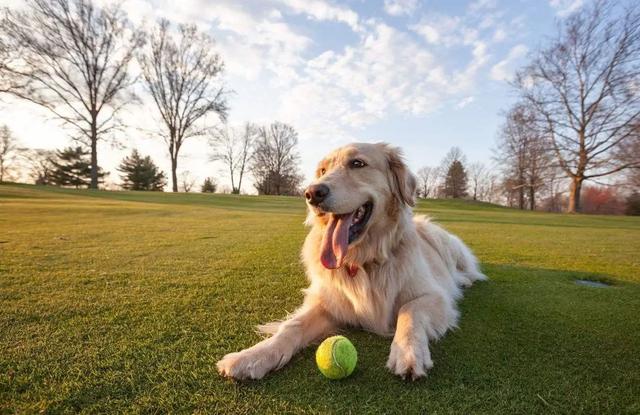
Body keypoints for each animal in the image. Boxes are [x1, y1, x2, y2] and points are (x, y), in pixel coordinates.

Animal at [216, 142, 484, 380]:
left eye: (357, 163)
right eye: (322, 170)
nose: (312, 193)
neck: (364, 260)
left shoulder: (434, 296)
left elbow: (409, 311)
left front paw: (408, 353)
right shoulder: (328, 302)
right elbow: (291, 326)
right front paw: (253, 356)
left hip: (443, 240)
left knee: (468, 270)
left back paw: (464, 280)